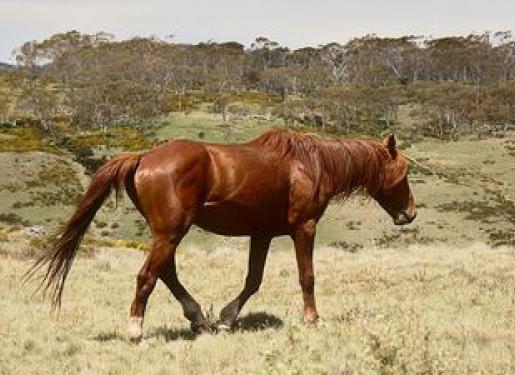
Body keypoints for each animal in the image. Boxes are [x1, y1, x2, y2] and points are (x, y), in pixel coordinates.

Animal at [27, 130, 416, 344]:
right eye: (404, 172)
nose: (410, 213)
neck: (310, 164)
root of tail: (143, 158)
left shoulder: (262, 234)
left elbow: (253, 280)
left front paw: (227, 318)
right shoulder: (304, 229)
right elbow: (307, 277)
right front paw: (313, 320)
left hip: (167, 233)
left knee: (165, 273)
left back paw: (199, 317)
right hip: (171, 232)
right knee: (147, 276)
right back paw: (137, 331)